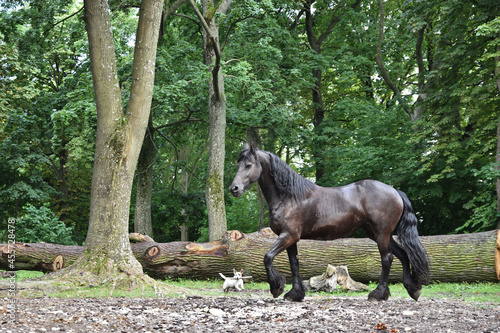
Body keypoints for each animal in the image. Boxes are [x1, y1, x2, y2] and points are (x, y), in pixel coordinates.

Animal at [230, 144, 430, 302]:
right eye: (238, 164)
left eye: (248, 165)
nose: (234, 189)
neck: (289, 196)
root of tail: (395, 191)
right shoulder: (290, 238)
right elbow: (294, 264)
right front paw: (295, 294)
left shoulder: (288, 236)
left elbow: (267, 257)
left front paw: (276, 288)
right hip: (379, 234)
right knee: (403, 254)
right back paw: (413, 289)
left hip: (382, 234)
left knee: (387, 259)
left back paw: (377, 294)